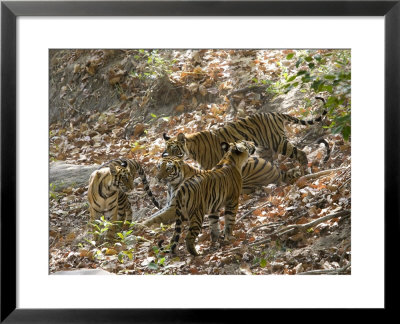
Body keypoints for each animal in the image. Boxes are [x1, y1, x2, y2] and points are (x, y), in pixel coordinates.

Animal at [141, 156, 300, 228]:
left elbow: (155, 218)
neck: (171, 186)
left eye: (168, 169)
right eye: (159, 167)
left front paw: (138, 227)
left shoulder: (175, 208)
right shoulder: (169, 205)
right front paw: (137, 223)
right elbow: (153, 215)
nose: (158, 178)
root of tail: (276, 169)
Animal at [161, 96, 330, 170]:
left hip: (277, 142)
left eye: (174, 150)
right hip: (265, 147)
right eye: (166, 151)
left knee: (300, 153)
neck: (191, 150)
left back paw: (304, 169)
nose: (168, 158)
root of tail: (274, 113)